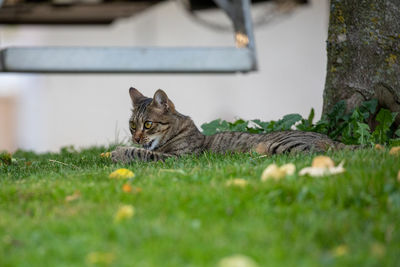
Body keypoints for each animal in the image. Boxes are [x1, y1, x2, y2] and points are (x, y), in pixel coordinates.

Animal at [110, 88, 346, 163]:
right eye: (132, 125)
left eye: (148, 124)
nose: (135, 138)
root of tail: (330, 139)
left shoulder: (179, 159)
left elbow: (142, 153)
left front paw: (117, 152)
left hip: (283, 145)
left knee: (314, 155)